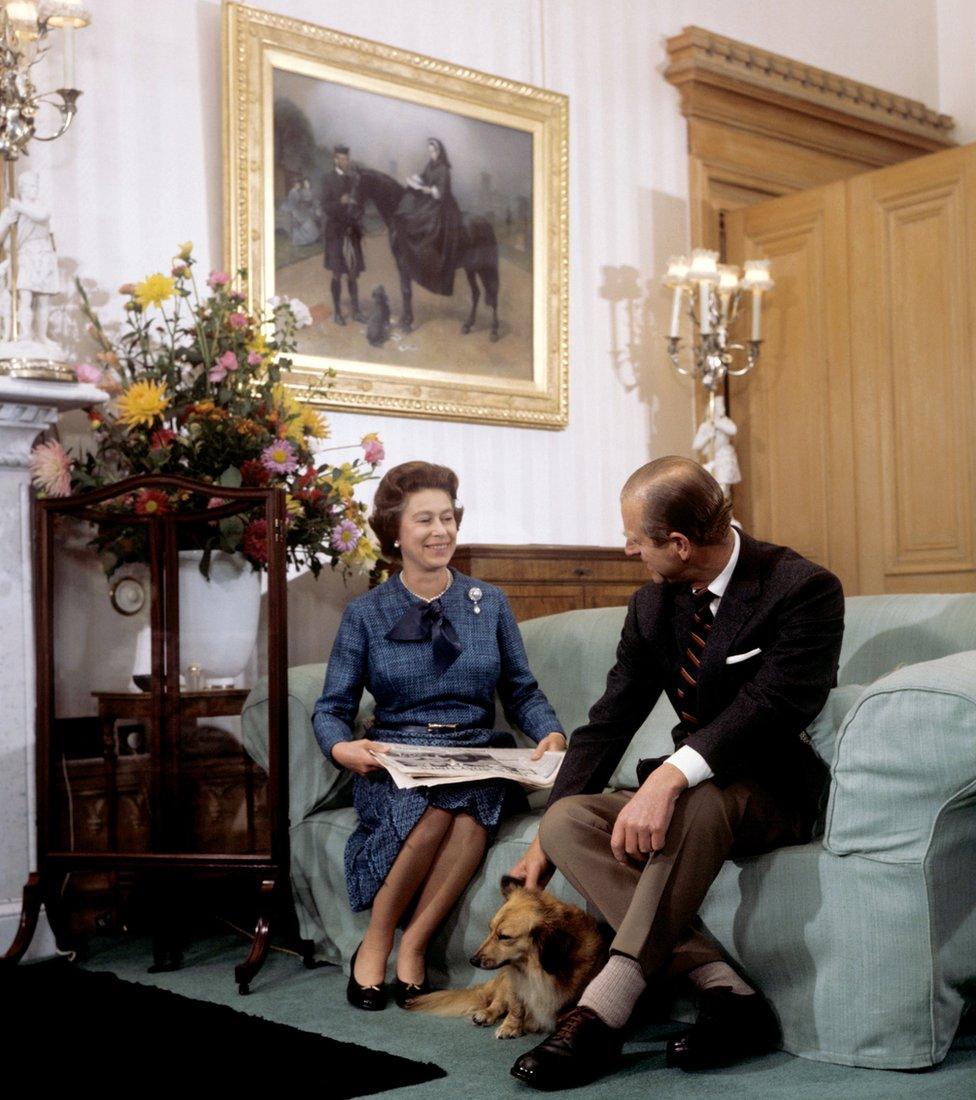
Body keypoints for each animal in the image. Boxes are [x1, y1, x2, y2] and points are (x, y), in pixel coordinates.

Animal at [354, 165, 499, 338]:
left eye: (355, 185)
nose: (352, 210)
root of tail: (486, 225)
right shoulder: (401, 264)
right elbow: (405, 290)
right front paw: (404, 320)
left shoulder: (403, 262)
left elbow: (407, 291)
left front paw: (407, 323)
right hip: (471, 268)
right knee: (476, 293)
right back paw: (468, 325)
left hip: (484, 267)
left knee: (493, 292)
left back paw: (494, 332)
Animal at [402, 875, 602, 1038]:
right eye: (490, 929)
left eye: (504, 937)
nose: (472, 960)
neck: (536, 970)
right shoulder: (515, 982)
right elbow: (516, 1007)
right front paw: (511, 1027)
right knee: (498, 1002)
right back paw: (486, 1014)